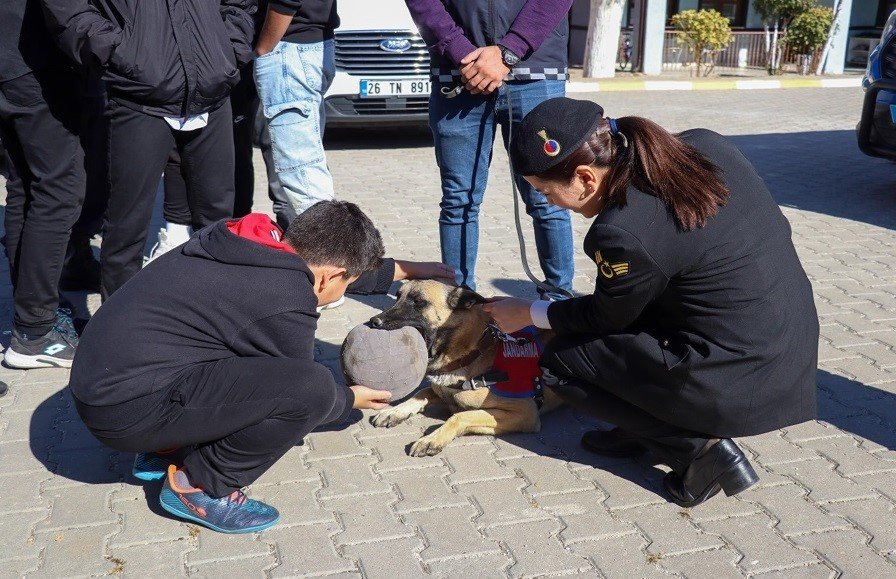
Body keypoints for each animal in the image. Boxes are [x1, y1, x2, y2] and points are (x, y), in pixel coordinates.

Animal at [364, 280, 560, 458]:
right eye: (397, 297)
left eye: (419, 301)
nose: (373, 322)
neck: (472, 352)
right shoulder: (442, 390)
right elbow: (421, 392)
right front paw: (394, 411)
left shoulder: (525, 413)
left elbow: (461, 416)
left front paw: (431, 439)